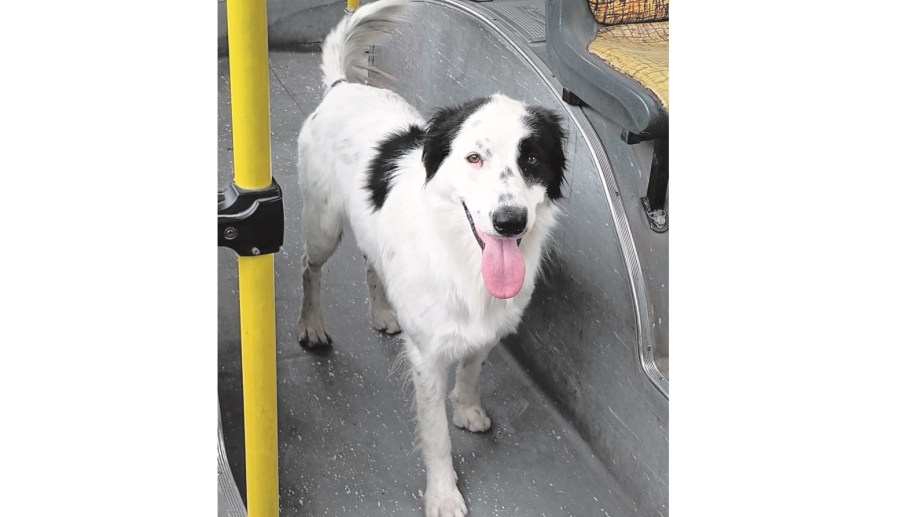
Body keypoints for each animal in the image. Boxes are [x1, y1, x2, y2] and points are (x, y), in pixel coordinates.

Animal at [296, 1, 566, 515]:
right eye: (474, 158)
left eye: (532, 159)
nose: (510, 221)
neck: (462, 259)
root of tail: (343, 86)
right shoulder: (426, 357)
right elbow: (436, 435)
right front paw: (443, 493)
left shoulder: (485, 332)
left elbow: (473, 370)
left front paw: (467, 408)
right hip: (322, 226)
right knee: (310, 271)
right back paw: (312, 325)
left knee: (370, 262)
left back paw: (383, 312)